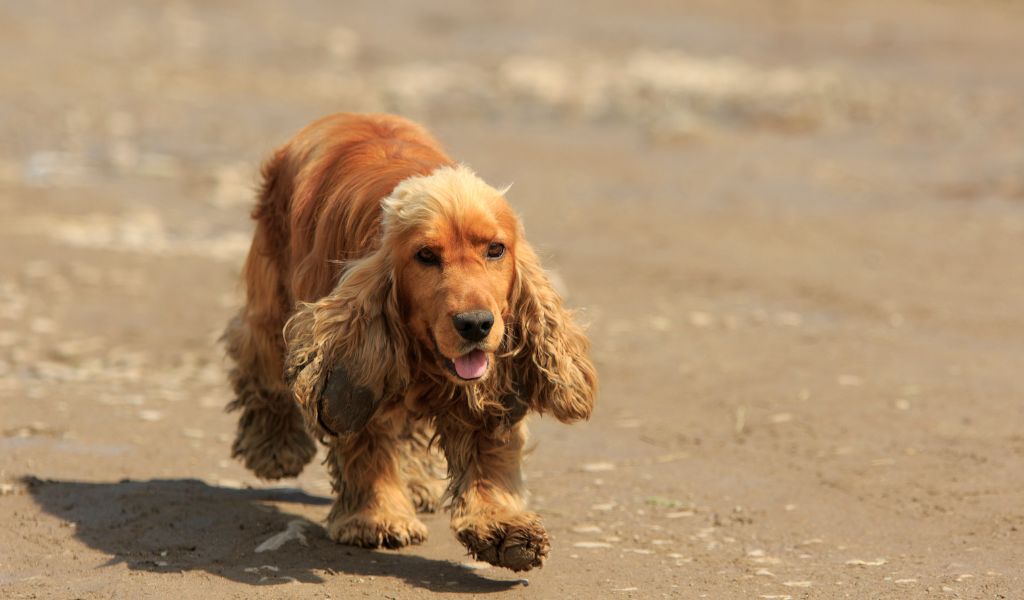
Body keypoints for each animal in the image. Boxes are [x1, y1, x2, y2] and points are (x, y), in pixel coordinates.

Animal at [221, 113, 598, 569]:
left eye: (495, 249)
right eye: (425, 255)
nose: (475, 324)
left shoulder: (485, 379)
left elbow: (487, 451)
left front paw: (502, 527)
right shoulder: (355, 360)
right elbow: (364, 439)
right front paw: (377, 517)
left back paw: (419, 483)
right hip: (271, 296)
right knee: (261, 363)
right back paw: (274, 449)